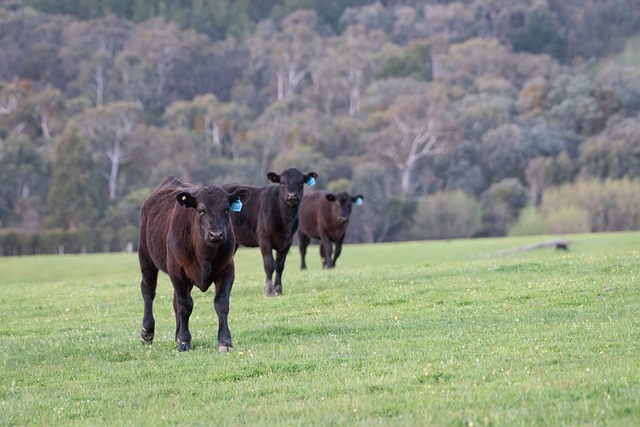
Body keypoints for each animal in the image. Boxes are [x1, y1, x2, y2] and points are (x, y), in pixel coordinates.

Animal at [139, 176, 249, 352]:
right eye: (200, 210)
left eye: (226, 209)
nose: (216, 234)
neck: (205, 256)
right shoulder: (177, 271)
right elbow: (185, 306)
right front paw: (184, 342)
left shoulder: (227, 269)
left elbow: (221, 304)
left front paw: (225, 341)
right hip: (146, 258)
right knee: (148, 291)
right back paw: (147, 333)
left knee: (174, 301)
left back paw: (176, 335)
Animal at [222, 168, 318, 298]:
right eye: (282, 183)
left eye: (300, 182)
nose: (291, 195)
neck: (285, 221)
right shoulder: (264, 239)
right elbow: (269, 264)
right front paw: (268, 290)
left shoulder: (287, 242)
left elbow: (280, 266)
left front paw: (278, 289)